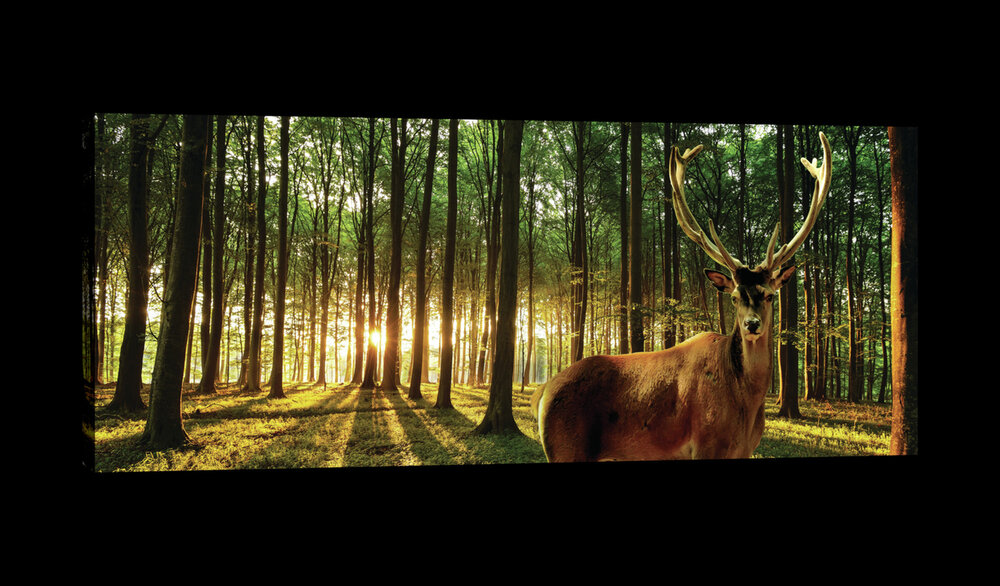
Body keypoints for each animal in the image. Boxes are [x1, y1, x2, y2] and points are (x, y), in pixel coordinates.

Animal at [531, 131, 833, 461]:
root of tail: (543, 392)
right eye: (735, 297)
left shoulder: (744, 450)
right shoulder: (705, 444)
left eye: (768, 296)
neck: (744, 404)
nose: (752, 324)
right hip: (566, 448)